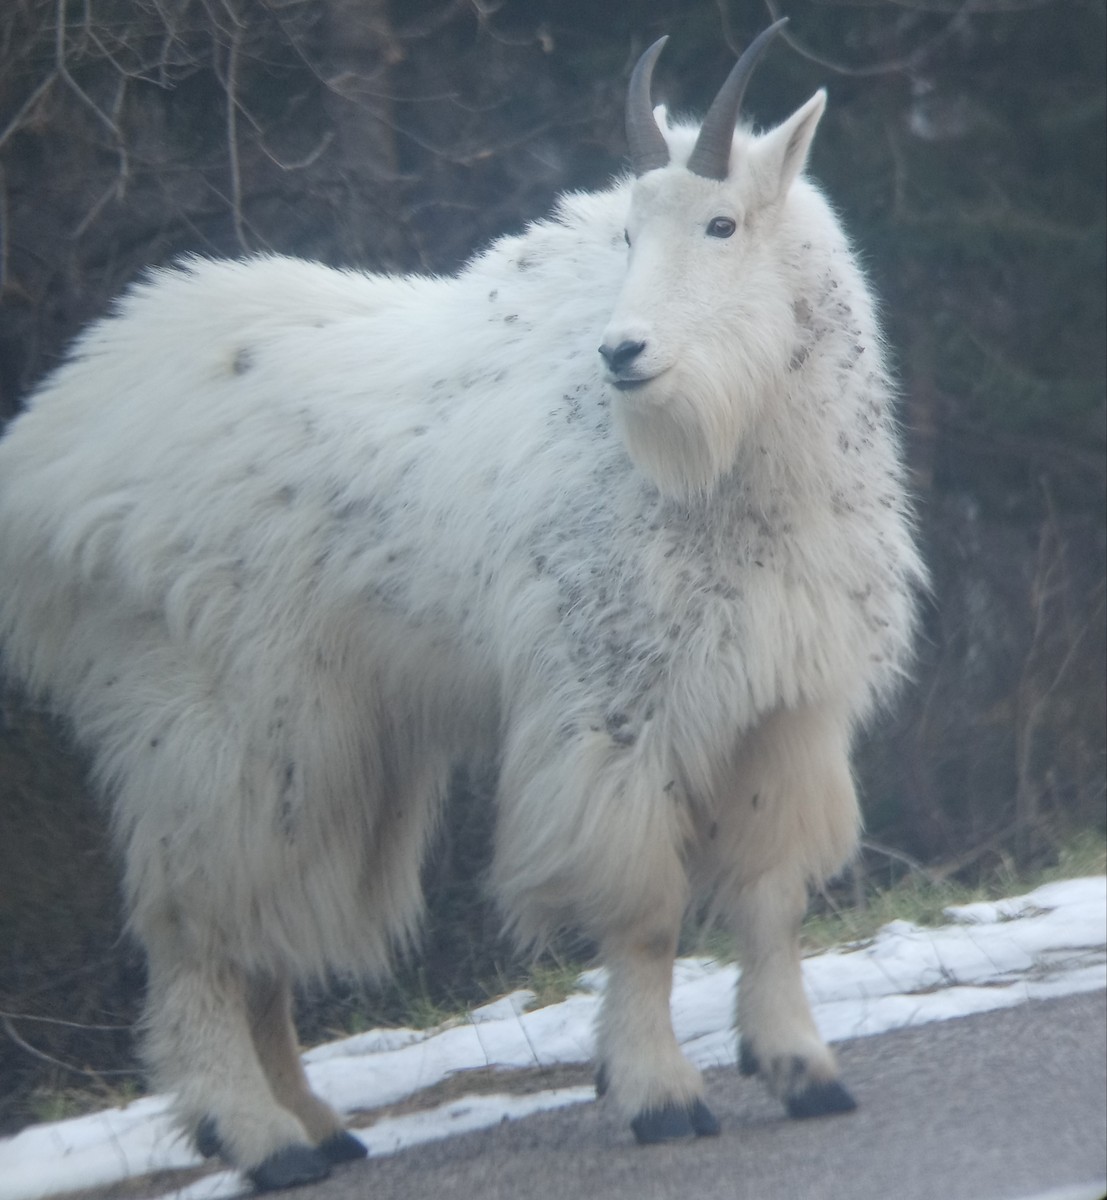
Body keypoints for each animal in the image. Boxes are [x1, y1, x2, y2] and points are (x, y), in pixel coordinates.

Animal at [0, 21, 923, 1192]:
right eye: (630, 231)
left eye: (722, 223)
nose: (623, 353)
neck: (732, 462)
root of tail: (52, 448)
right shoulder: (614, 712)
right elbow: (647, 911)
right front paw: (658, 1094)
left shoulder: (783, 706)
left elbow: (768, 897)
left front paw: (802, 1069)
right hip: (217, 733)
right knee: (198, 932)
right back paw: (255, 1135)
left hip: (320, 748)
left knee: (256, 938)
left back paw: (317, 1127)